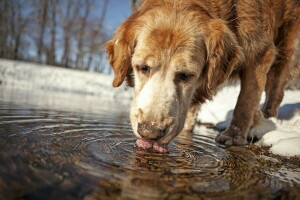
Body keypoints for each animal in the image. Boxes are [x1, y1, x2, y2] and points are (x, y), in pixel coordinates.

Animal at [105, 0, 298, 152]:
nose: (150, 133)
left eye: (185, 75)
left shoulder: (260, 53)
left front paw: (233, 136)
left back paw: (268, 118)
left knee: (276, 89)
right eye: (143, 68)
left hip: (286, 46)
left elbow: (246, 101)